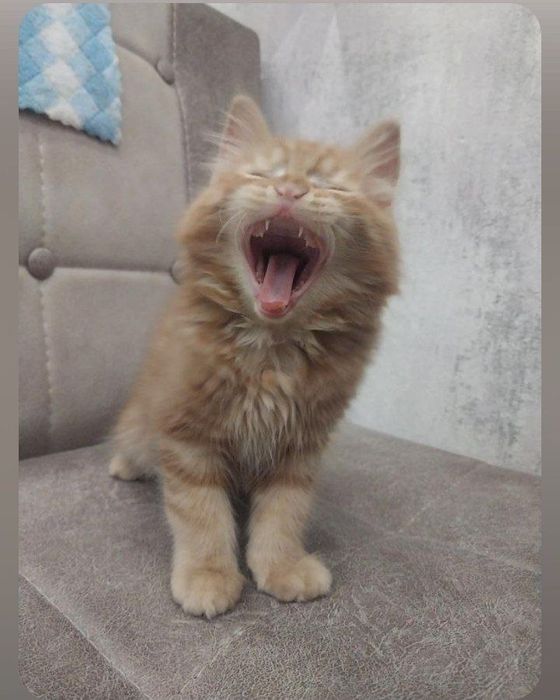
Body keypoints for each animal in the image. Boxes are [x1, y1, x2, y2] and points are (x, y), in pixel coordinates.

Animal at [109, 95, 400, 618]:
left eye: (328, 185)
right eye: (262, 175)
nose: (290, 189)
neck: (271, 350)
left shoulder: (301, 445)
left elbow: (284, 512)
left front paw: (282, 566)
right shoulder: (187, 434)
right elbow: (200, 514)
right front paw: (208, 576)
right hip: (140, 421)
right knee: (133, 442)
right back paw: (126, 465)